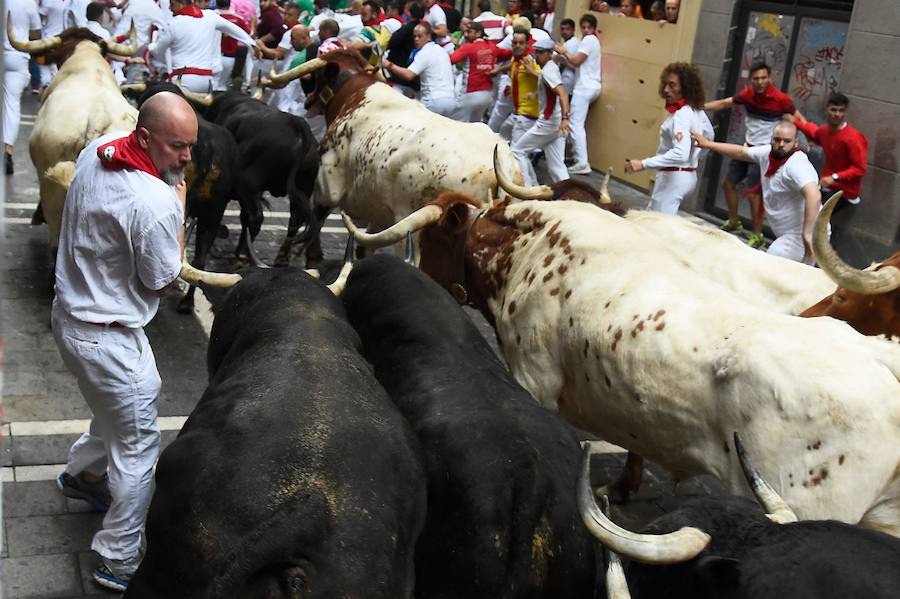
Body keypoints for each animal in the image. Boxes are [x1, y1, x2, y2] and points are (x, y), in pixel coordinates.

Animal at [342, 193, 900, 540]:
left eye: (434, 241)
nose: (413, 275)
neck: (527, 252)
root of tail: (879, 360)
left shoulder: (533, 377)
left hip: (806, 504)